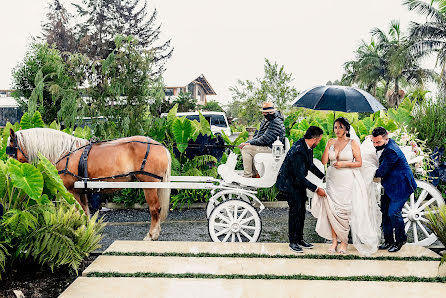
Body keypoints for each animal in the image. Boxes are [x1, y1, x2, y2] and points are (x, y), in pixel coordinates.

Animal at [6, 127, 171, 240]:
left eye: (11, 150)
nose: (8, 174)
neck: (65, 152)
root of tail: (160, 146)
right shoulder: (81, 191)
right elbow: (85, 211)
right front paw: (88, 231)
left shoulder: (71, 191)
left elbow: (78, 210)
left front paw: (82, 233)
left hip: (149, 185)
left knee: (154, 209)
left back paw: (152, 235)